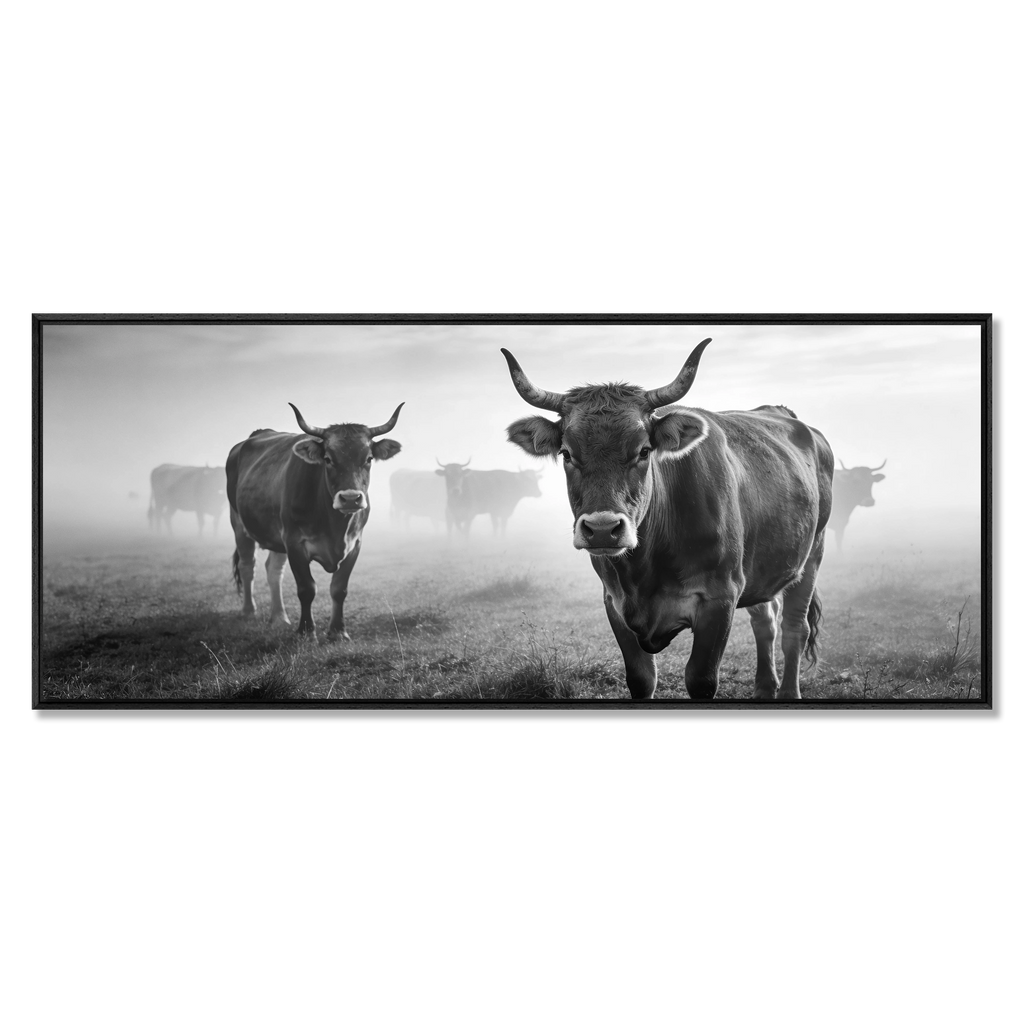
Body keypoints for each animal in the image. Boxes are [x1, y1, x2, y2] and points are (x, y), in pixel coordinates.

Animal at [226, 401, 403, 638]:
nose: (350, 498)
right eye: (328, 459)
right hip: (239, 524)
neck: (335, 526)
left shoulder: (354, 545)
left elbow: (339, 589)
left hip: (276, 535)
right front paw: (306, 631)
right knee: (247, 566)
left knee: (274, 571)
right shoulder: (295, 544)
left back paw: (279, 617)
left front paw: (338, 631)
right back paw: (248, 611)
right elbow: (306, 589)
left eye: (368, 459)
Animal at [502, 338, 834, 701]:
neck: (645, 569)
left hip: (812, 556)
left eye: (644, 451)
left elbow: (701, 679)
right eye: (566, 453)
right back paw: (764, 688)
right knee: (766, 623)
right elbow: (642, 679)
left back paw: (787, 690)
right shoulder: (614, 603)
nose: (603, 529)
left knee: (794, 629)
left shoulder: (720, 599)